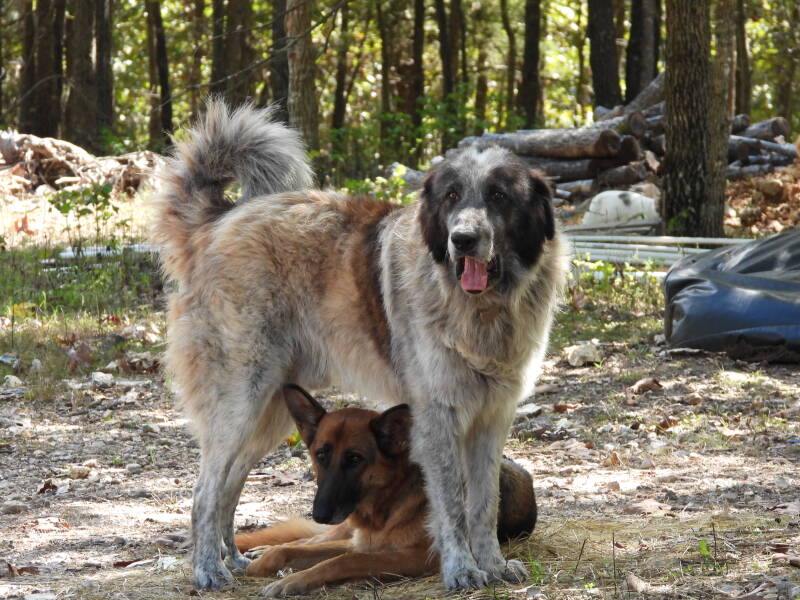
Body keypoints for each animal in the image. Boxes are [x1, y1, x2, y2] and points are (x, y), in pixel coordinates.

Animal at [233, 384, 537, 596]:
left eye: (354, 459)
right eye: (321, 455)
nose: (320, 513)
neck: (387, 508)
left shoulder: (418, 556)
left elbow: (345, 560)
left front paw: (293, 580)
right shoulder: (362, 541)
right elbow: (294, 550)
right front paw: (267, 563)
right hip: (341, 532)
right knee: (308, 539)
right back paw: (261, 550)